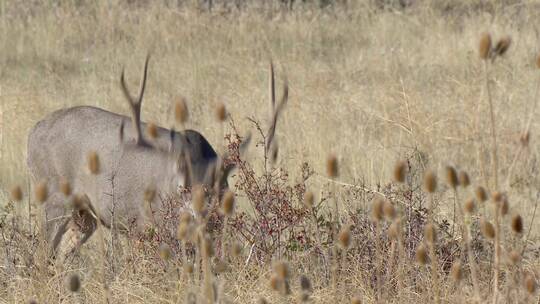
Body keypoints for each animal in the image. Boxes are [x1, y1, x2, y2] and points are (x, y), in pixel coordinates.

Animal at [26, 55, 286, 262]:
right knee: (42, 253)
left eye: (219, 188)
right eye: (183, 189)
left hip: (84, 214)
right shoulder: (145, 225)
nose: (201, 215)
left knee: (61, 254)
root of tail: (33, 133)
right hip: (53, 197)